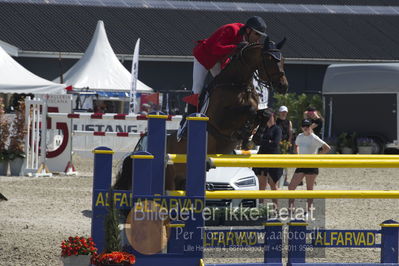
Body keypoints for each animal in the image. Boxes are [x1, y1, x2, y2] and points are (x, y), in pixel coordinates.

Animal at [164, 38, 290, 191]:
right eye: (269, 59)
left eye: (283, 60)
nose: (283, 86)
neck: (238, 84)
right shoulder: (221, 121)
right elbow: (250, 110)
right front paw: (246, 131)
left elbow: (265, 112)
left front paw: (256, 136)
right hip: (170, 179)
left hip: (182, 179)